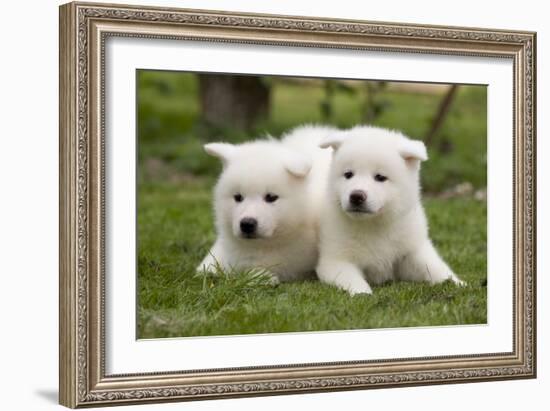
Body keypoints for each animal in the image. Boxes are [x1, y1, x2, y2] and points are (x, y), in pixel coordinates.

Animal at [316, 125, 464, 296]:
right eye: (348, 174)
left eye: (380, 177)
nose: (356, 196)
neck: (374, 226)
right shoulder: (336, 260)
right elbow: (352, 279)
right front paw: (363, 294)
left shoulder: (412, 251)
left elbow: (436, 269)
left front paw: (459, 284)